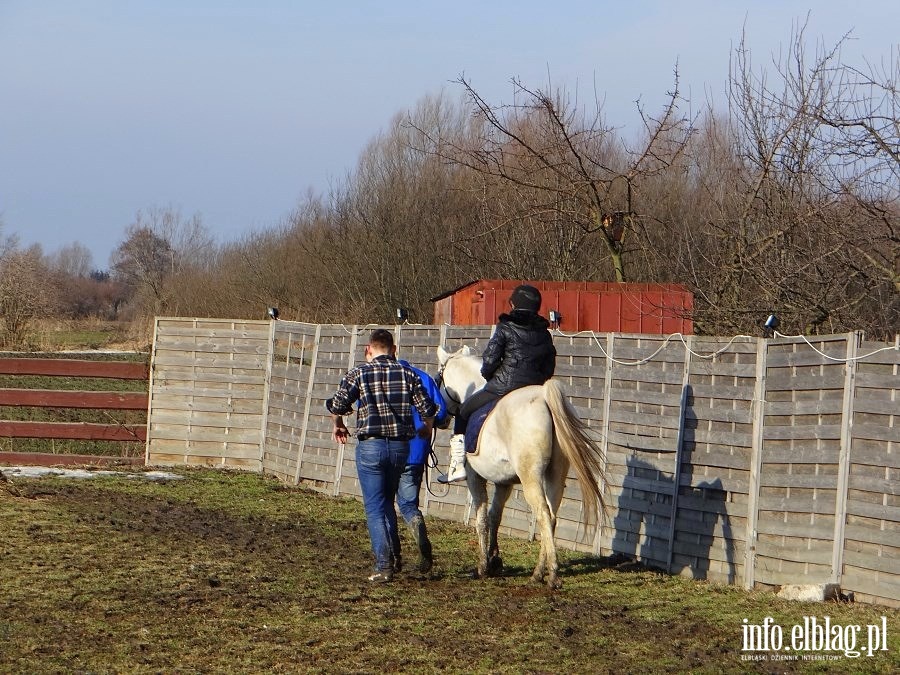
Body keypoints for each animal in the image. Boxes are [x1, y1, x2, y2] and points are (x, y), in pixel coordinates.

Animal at [434, 346, 604, 588]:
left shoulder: (476, 479)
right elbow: (495, 516)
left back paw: (552, 574)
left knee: (543, 514)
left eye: (440, 380)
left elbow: (482, 519)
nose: (441, 419)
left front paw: (483, 566)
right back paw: (538, 572)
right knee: (551, 517)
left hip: (530, 477)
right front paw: (495, 559)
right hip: (555, 476)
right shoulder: (504, 483)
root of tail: (543, 396)